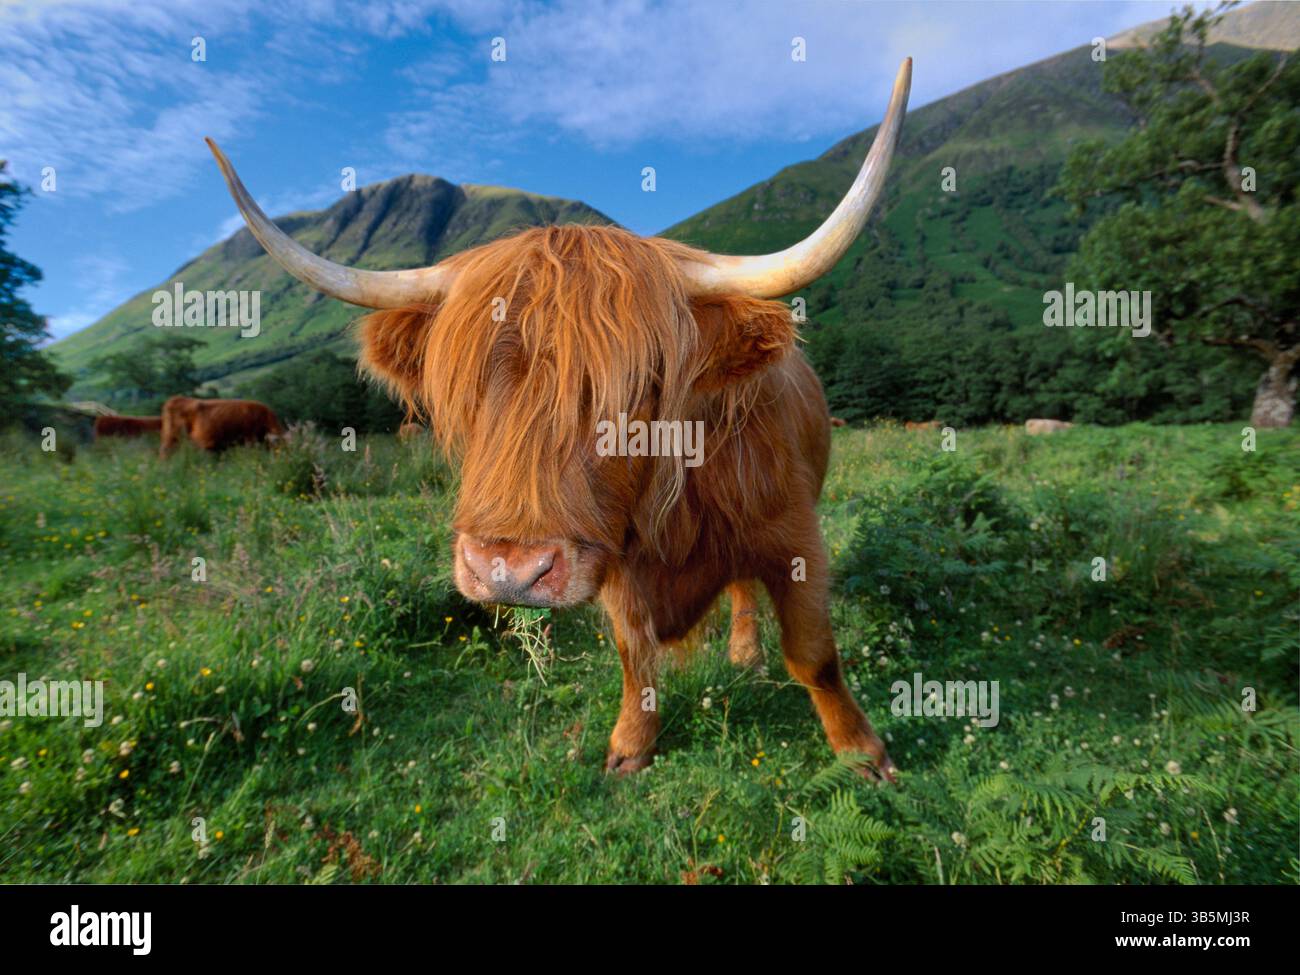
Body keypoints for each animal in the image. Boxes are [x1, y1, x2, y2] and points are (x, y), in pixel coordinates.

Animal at [207, 58, 913, 779]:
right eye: (468, 387)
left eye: (643, 384)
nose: (508, 570)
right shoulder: (617, 561)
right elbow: (633, 652)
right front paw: (631, 745)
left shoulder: (795, 537)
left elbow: (814, 654)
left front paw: (863, 753)